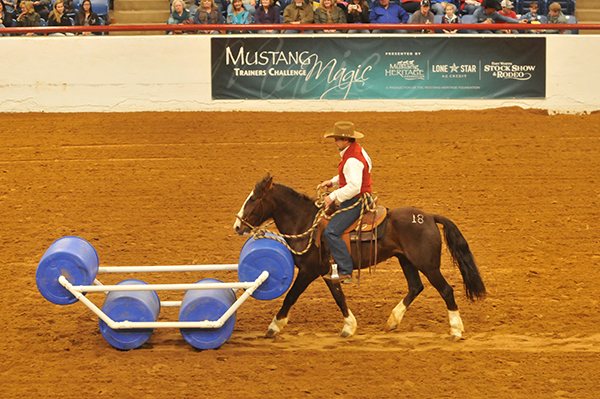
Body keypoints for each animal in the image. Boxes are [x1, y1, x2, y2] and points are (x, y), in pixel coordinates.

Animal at [232, 176, 486, 340]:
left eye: (253, 199)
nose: (237, 226)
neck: (305, 222)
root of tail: (430, 216)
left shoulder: (308, 271)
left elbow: (291, 296)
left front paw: (274, 326)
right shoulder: (327, 272)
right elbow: (339, 297)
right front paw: (349, 327)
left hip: (428, 264)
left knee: (446, 290)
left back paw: (456, 330)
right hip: (406, 260)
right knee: (415, 287)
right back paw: (393, 320)